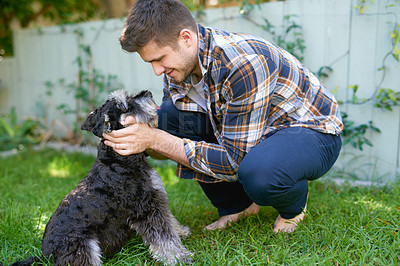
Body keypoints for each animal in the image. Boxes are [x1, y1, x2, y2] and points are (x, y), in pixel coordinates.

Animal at [11, 90, 193, 266]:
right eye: (127, 105)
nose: (147, 93)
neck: (119, 159)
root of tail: (45, 256)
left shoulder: (156, 201)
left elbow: (169, 222)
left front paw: (181, 232)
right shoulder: (146, 208)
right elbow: (163, 237)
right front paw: (179, 258)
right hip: (84, 246)